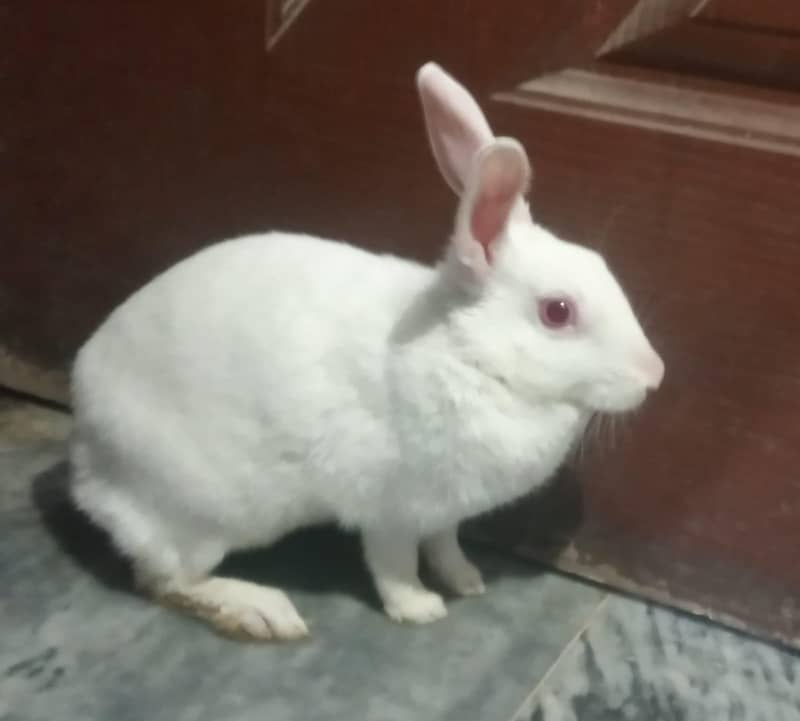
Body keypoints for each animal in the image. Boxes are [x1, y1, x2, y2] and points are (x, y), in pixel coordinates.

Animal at [69, 61, 664, 642]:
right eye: (557, 312)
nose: (654, 374)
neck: (470, 354)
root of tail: (85, 457)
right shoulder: (390, 508)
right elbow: (394, 564)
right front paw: (421, 608)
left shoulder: (444, 510)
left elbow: (444, 543)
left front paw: (466, 581)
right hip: (200, 515)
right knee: (164, 580)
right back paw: (263, 611)